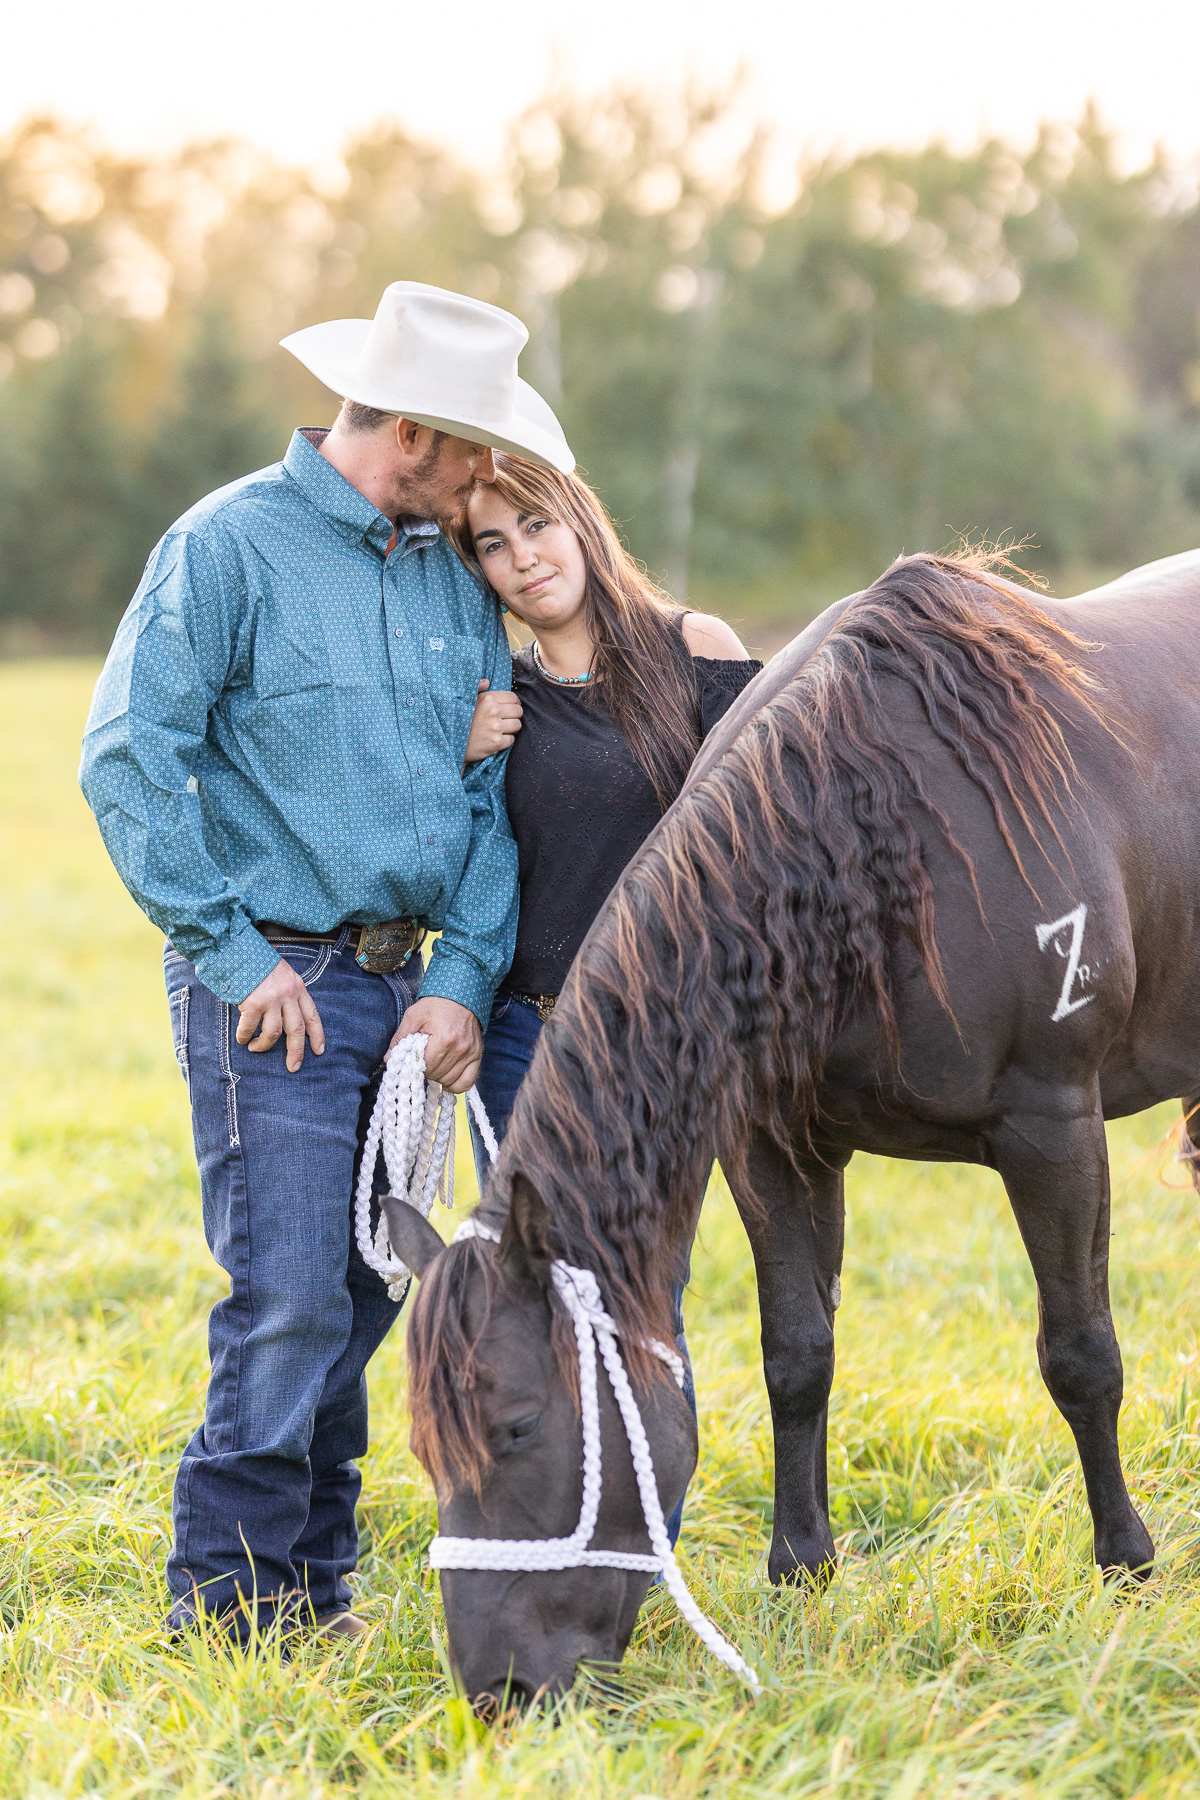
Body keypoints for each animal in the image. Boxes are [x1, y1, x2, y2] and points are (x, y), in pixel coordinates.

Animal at [387, 547, 1200, 1709]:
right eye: (422, 1446)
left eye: (518, 1427)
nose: (498, 1692)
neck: (878, 847)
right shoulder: (773, 1147)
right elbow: (797, 1355)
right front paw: (801, 1566)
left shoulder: (1053, 1126)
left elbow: (1081, 1354)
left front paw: (1126, 1564)